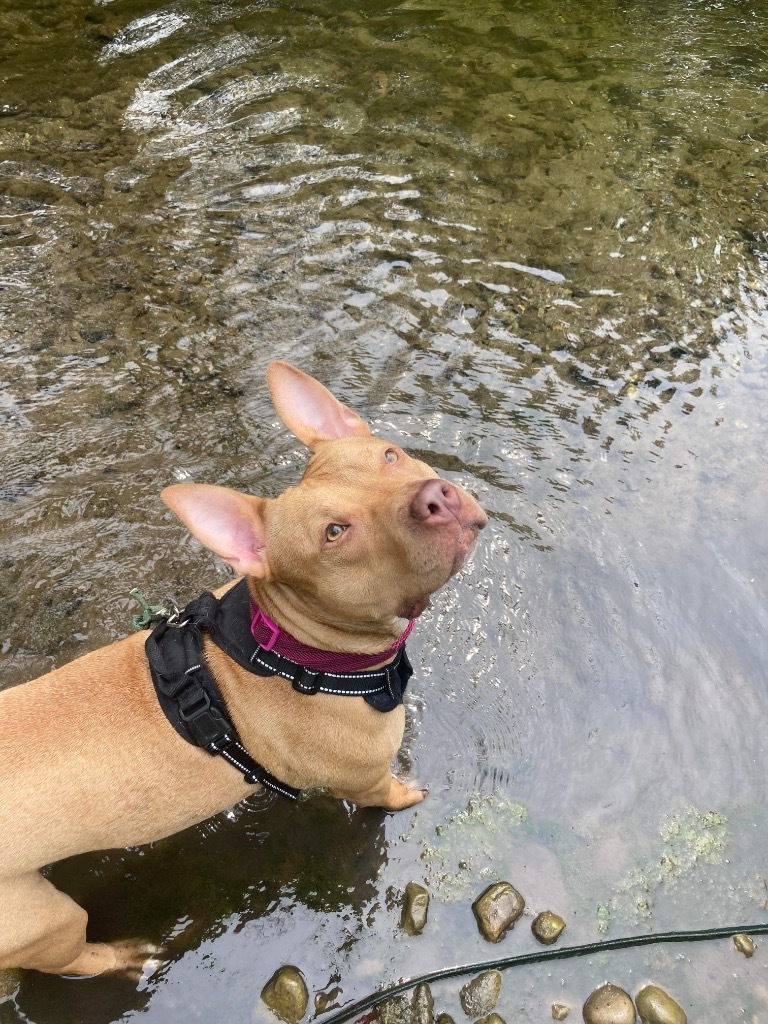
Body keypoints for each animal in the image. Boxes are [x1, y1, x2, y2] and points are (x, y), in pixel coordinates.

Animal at [0, 360, 487, 974]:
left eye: (391, 455)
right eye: (334, 533)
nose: (435, 498)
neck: (293, 650)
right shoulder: (366, 779)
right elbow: (388, 792)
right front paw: (410, 795)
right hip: (48, 921)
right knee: (71, 959)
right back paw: (128, 955)